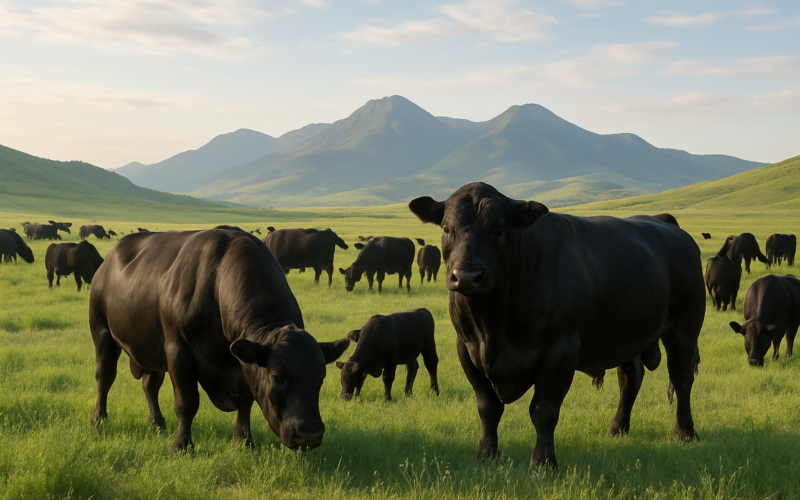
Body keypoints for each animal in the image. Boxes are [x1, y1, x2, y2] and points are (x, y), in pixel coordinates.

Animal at [88, 228, 350, 452]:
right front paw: (182, 445)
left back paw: (156, 423)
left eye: (321, 376)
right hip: (102, 332)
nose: (309, 434)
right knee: (105, 376)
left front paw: (244, 440)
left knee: (150, 385)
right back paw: (99, 419)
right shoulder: (178, 352)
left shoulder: (242, 362)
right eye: (276, 377)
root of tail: (108, 258)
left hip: (150, 348)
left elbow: (246, 400)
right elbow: (187, 402)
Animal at [409, 182, 705, 471]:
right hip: (626, 335)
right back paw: (618, 428)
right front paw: (487, 455)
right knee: (631, 378)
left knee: (681, 379)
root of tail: (666, 223)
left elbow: (544, 410)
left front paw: (543, 463)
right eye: (447, 228)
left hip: (684, 329)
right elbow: (488, 407)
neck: (494, 323)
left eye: (499, 229)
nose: (467, 277)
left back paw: (685, 432)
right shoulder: (467, 349)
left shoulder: (560, 349)